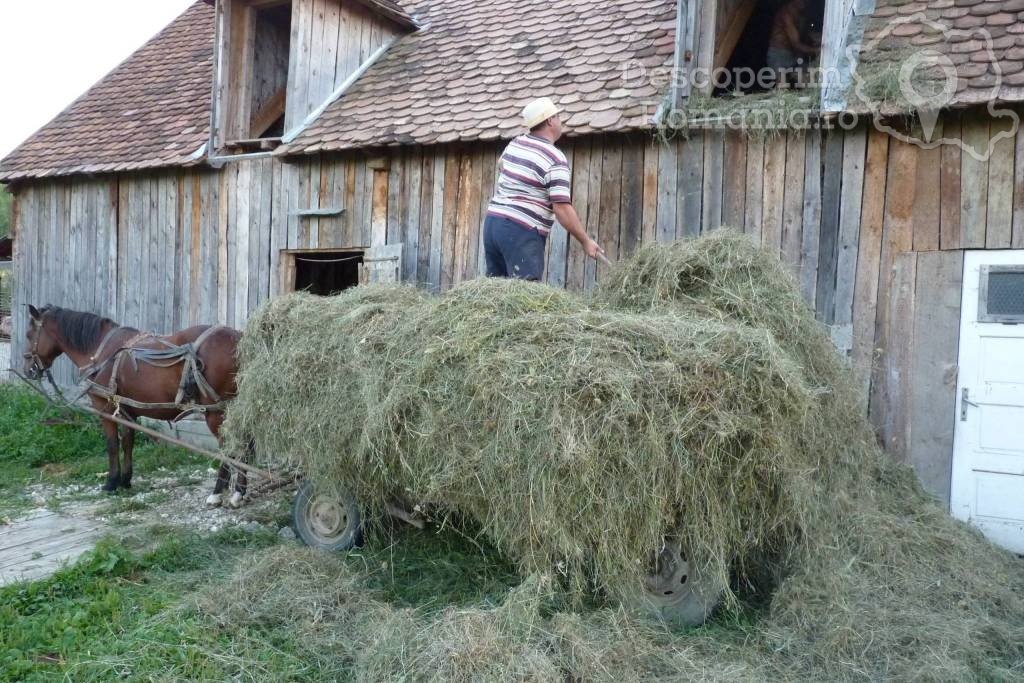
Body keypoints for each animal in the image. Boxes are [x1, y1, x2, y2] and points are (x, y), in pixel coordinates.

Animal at [23, 305, 247, 507]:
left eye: (28, 334)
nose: (28, 370)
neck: (101, 352)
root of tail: (239, 339)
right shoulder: (126, 411)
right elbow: (128, 443)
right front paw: (125, 480)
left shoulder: (105, 410)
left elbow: (112, 445)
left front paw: (111, 482)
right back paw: (239, 492)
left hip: (216, 413)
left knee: (230, 448)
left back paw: (217, 493)